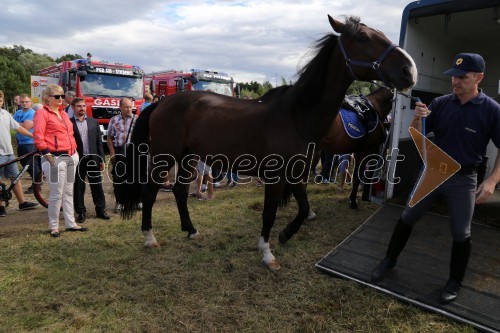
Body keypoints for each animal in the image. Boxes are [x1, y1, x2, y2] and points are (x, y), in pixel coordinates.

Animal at [119, 14, 416, 270]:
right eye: (364, 38)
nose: (409, 71)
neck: (296, 115)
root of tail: (161, 103)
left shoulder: (296, 174)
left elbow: (304, 208)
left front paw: (286, 234)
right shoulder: (276, 177)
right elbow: (269, 214)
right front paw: (267, 253)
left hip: (189, 157)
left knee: (180, 192)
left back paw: (192, 231)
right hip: (164, 156)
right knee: (150, 192)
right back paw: (150, 238)